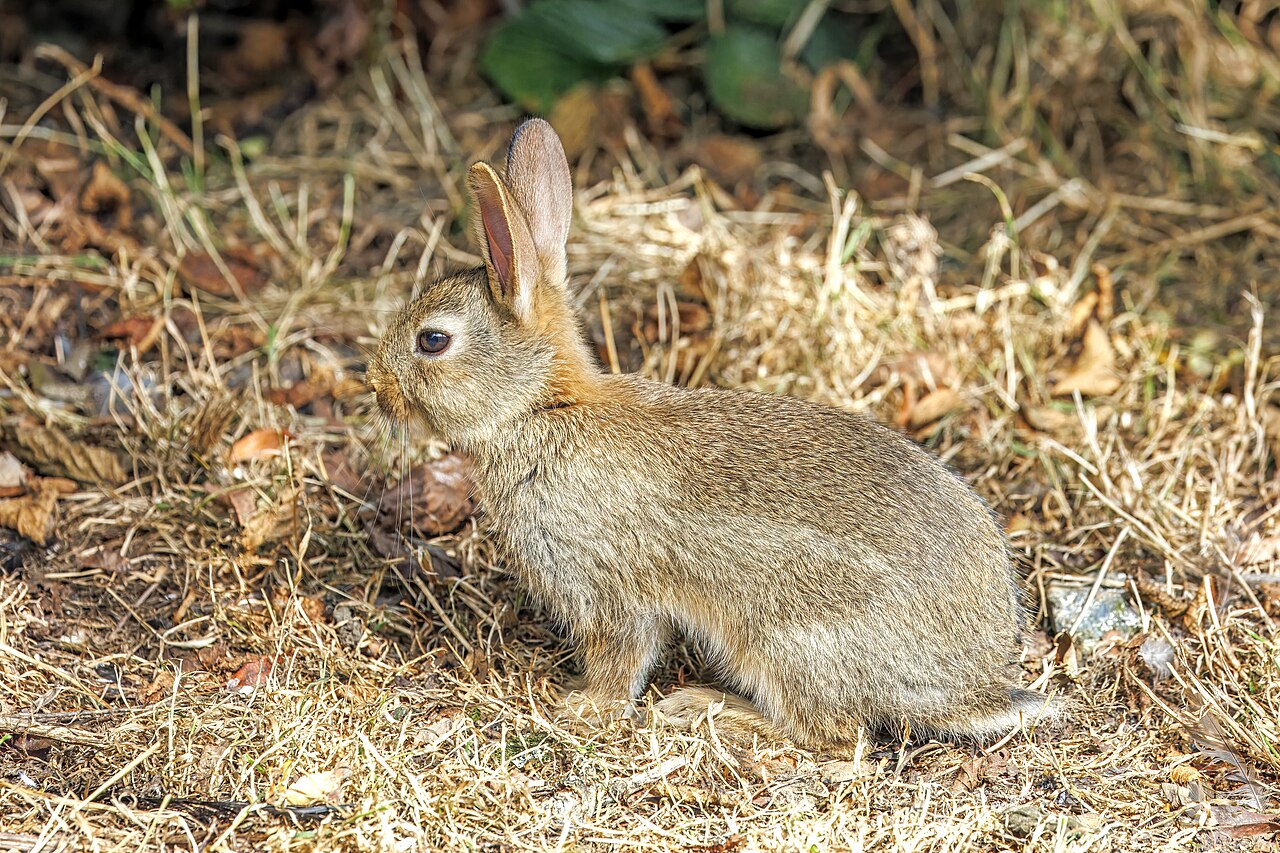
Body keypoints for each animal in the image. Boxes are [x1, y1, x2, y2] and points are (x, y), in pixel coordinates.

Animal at [366, 118, 1055, 753]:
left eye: (433, 340)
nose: (375, 385)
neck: (540, 407)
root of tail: (967, 684)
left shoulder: (610, 589)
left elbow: (622, 656)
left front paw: (582, 707)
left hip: (786, 638)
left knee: (832, 737)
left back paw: (706, 709)